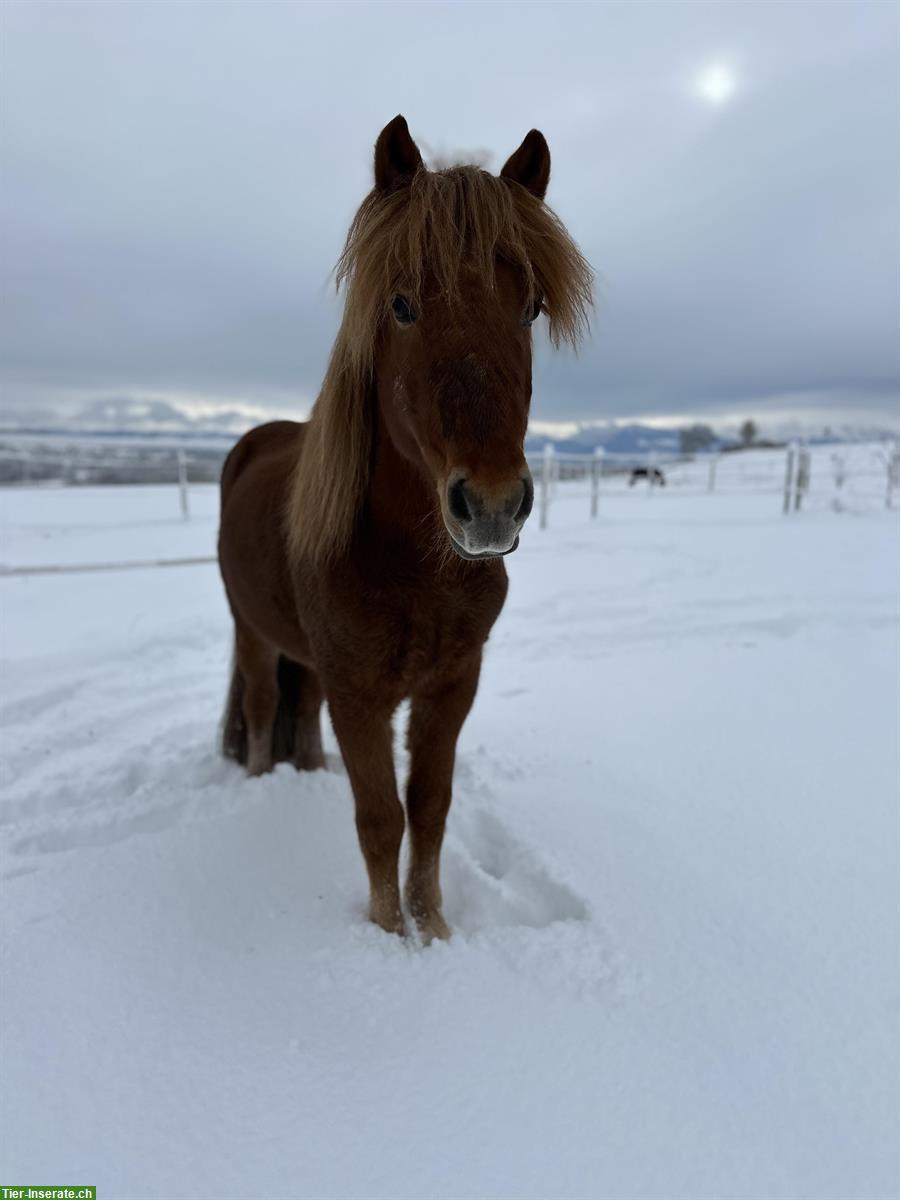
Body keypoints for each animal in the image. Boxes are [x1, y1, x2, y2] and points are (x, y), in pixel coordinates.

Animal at [220, 119, 592, 945]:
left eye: (531, 307)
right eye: (400, 304)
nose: (492, 506)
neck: (414, 568)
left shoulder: (453, 683)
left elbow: (428, 807)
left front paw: (436, 928)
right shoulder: (361, 695)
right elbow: (380, 818)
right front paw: (391, 939)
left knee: (301, 711)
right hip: (252, 631)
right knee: (260, 706)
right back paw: (259, 784)